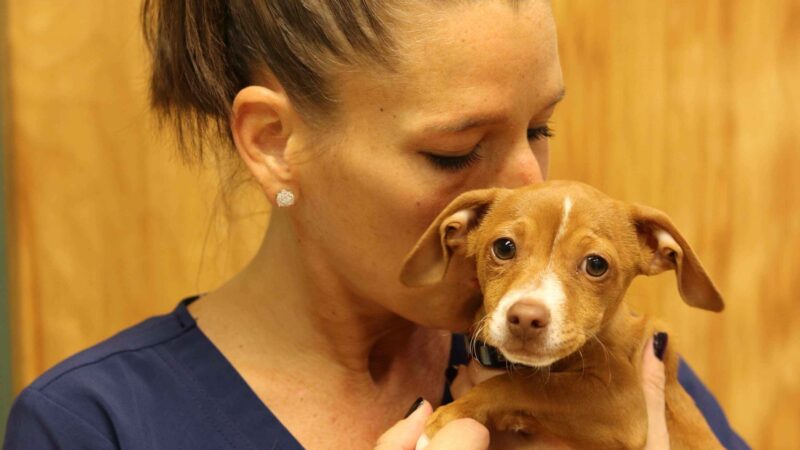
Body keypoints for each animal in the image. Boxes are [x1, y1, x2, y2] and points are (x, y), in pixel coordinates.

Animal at [400, 180, 724, 450]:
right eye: (504, 247)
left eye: (596, 265)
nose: (526, 319)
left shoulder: (623, 404)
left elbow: (523, 385)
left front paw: (448, 417)